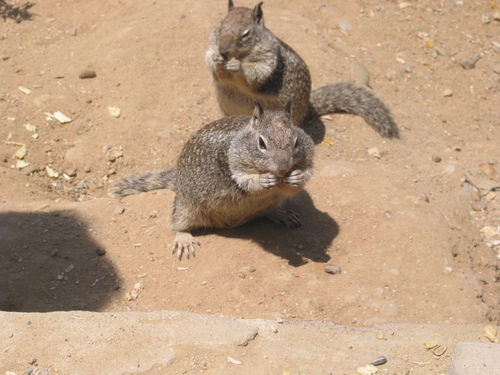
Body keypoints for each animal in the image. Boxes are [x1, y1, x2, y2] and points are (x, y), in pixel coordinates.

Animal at [111, 103, 314, 262]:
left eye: (296, 142)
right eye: (261, 143)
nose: (283, 167)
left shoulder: (307, 160)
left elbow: (303, 176)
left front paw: (297, 176)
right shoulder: (232, 165)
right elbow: (246, 182)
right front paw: (264, 180)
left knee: (269, 210)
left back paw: (281, 214)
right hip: (186, 206)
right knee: (178, 222)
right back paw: (183, 238)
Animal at [205, 0, 400, 139]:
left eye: (246, 34)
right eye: (221, 25)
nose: (223, 51)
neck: (242, 56)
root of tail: (308, 108)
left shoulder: (269, 59)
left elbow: (256, 76)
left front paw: (236, 66)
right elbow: (214, 68)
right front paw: (216, 60)